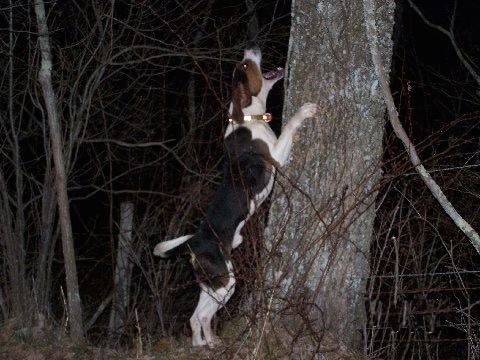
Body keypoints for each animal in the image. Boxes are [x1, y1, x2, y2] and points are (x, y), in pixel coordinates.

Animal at [155, 43, 318, 348]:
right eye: (243, 66)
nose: (251, 46)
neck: (249, 118)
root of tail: (194, 241)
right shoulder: (275, 158)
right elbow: (289, 125)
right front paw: (304, 111)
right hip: (225, 280)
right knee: (204, 315)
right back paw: (213, 342)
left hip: (213, 282)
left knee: (194, 317)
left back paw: (201, 344)